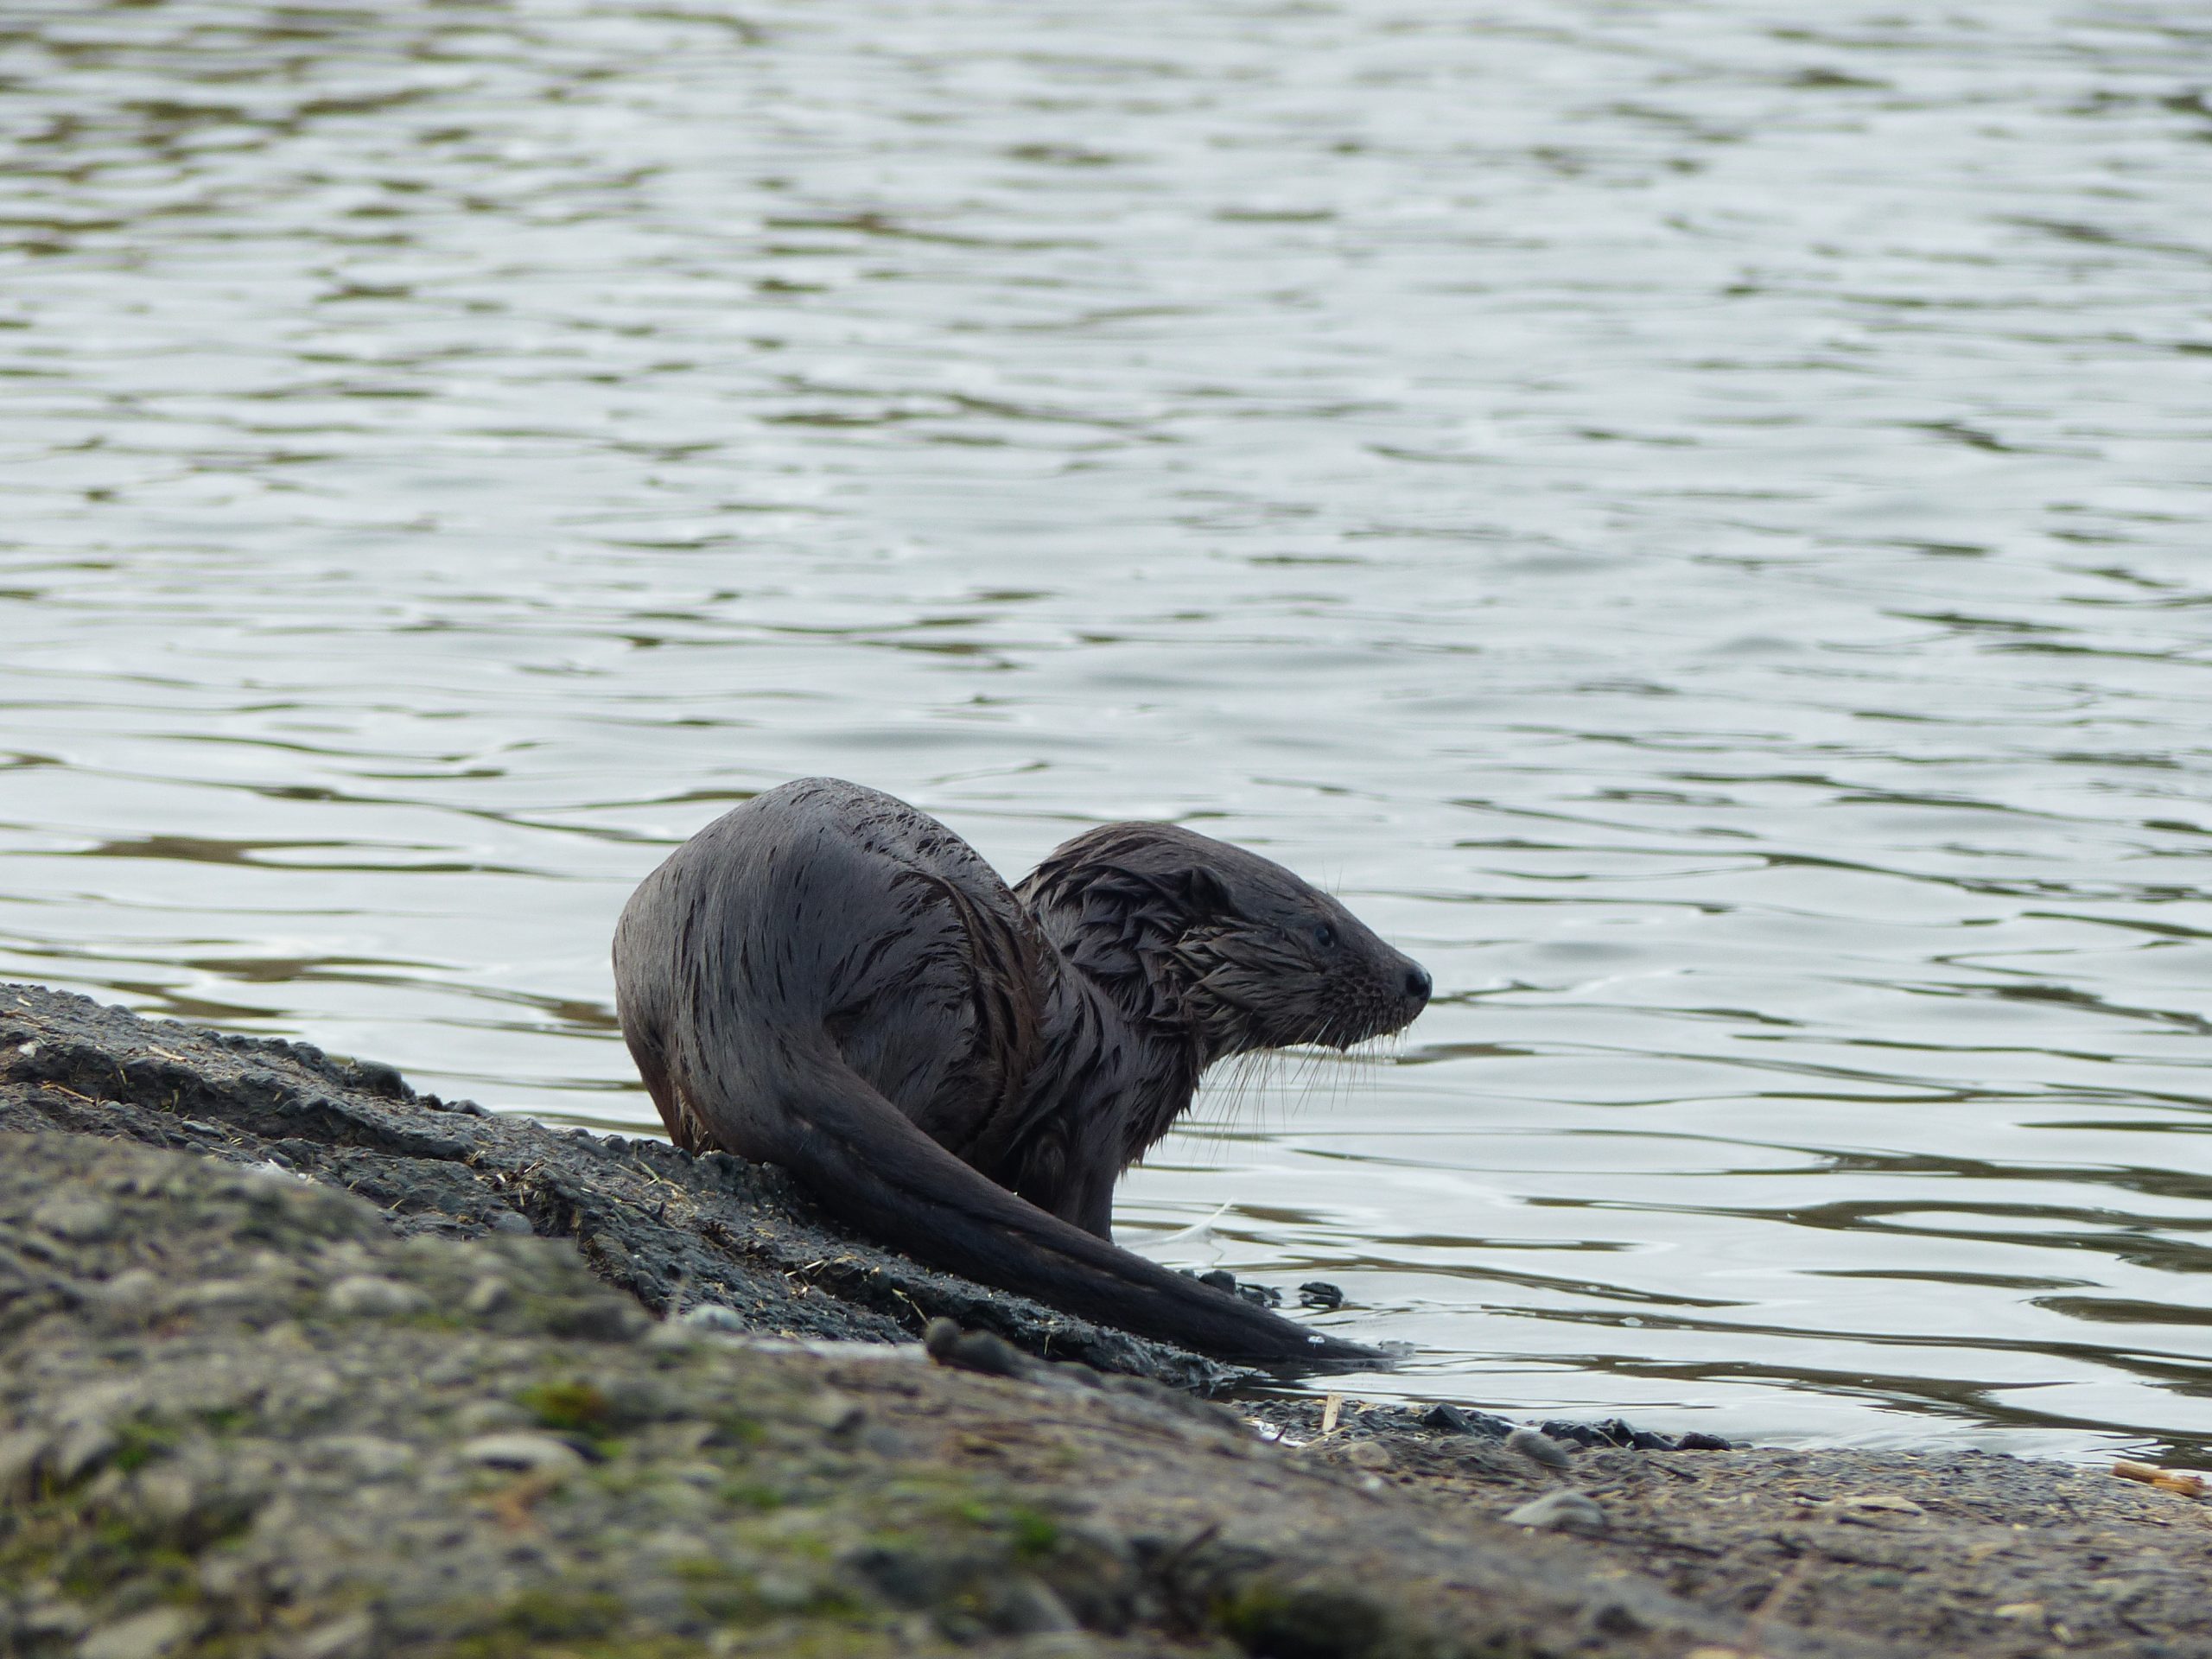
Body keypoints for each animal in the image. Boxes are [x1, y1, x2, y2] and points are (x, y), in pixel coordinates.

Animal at [614, 779, 1424, 1362]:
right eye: (1324, 930)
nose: (1420, 978)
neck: (1122, 1003)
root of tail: (741, 975)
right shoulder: (1099, 1114)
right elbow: (1086, 1216)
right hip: (936, 974)